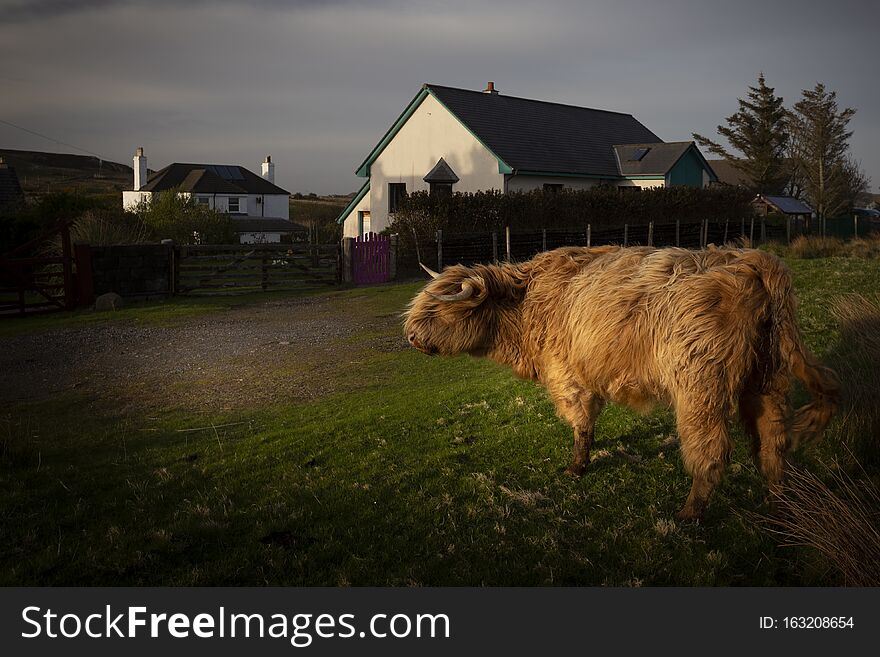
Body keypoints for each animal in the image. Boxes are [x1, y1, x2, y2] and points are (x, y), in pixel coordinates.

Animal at [406, 243, 840, 520]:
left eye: (437, 310)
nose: (409, 336)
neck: (525, 305)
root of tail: (753, 259)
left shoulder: (568, 376)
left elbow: (581, 424)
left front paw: (576, 468)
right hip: (768, 377)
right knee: (773, 441)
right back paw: (777, 503)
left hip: (700, 385)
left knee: (711, 451)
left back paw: (689, 514)